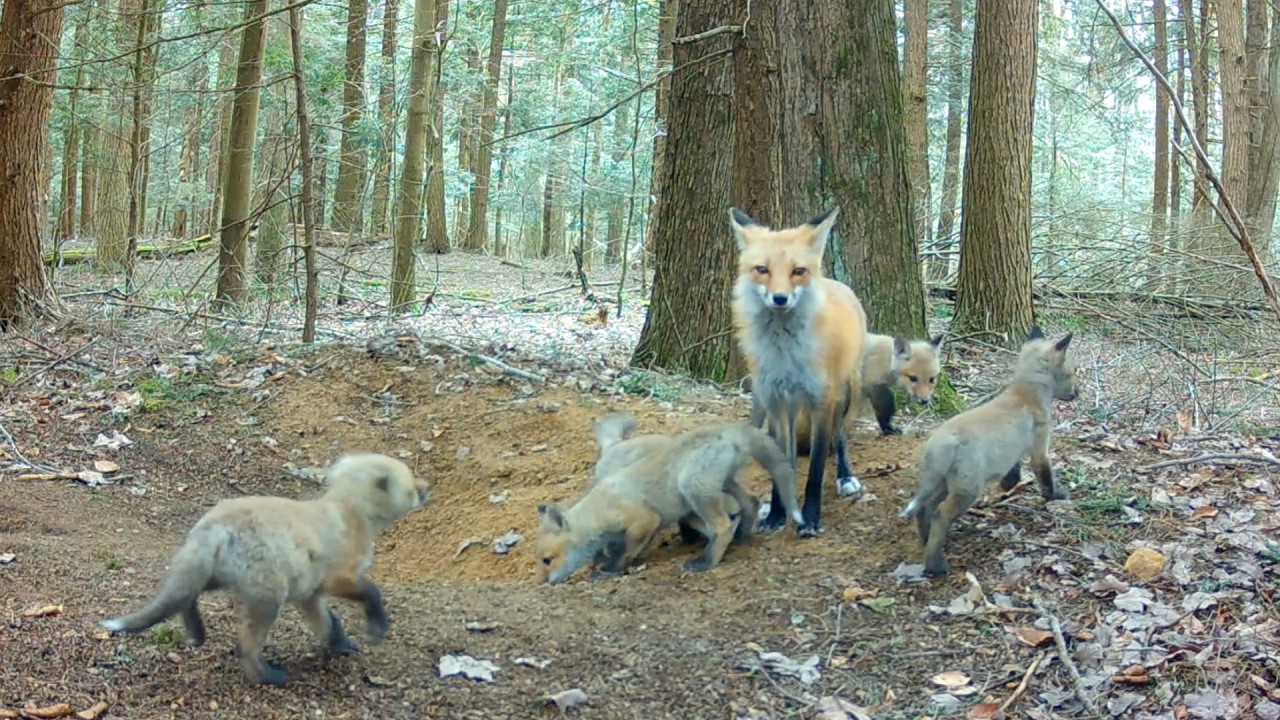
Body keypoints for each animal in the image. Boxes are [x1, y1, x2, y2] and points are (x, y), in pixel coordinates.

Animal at [99, 452, 432, 687]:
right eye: (411, 486)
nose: (427, 488)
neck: (349, 510)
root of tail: (213, 526)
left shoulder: (310, 593)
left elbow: (328, 623)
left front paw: (341, 645)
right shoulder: (338, 578)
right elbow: (372, 593)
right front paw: (376, 629)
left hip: (215, 576)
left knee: (184, 597)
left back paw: (196, 632)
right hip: (268, 598)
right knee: (244, 645)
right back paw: (266, 677)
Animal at [535, 422, 802, 585]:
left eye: (546, 560)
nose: (545, 583)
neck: (601, 509)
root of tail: (722, 429)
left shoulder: (644, 520)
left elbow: (626, 550)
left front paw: (610, 569)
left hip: (692, 487)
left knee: (723, 525)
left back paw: (706, 562)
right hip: (721, 485)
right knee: (750, 503)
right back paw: (741, 538)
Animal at [730, 206, 869, 536]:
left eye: (798, 271)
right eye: (762, 269)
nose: (780, 298)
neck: (785, 352)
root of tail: (837, 283)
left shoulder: (821, 401)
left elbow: (816, 468)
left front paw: (810, 518)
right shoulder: (775, 400)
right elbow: (782, 462)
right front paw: (776, 514)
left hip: (845, 391)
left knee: (840, 436)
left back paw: (845, 476)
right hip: (783, 404)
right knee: (790, 454)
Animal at [898, 326, 1079, 578]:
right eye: (1071, 374)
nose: (1077, 393)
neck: (1027, 394)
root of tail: (940, 442)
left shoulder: (1011, 448)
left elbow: (1013, 470)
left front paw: (1009, 484)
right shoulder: (1039, 448)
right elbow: (1045, 475)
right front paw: (1054, 496)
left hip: (942, 483)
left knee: (924, 509)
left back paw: (927, 542)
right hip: (968, 490)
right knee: (940, 514)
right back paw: (936, 565)